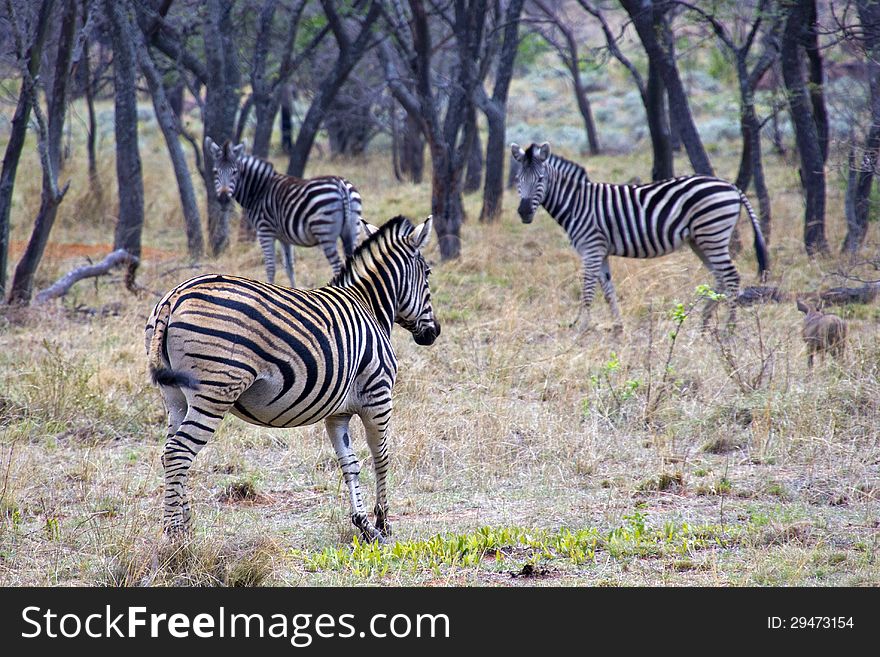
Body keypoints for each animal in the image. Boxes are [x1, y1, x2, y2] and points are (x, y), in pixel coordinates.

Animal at [147, 215, 444, 544]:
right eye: (428, 273)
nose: (434, 332)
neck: (370, 306)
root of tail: (174, 297)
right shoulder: (378, 397)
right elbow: (381, 457)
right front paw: (383, 524)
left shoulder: (337, 413)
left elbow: (349, 463)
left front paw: (363, 523)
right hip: (214, 392)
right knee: (179, 452)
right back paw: (175, 535)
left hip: (175, 397)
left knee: (169, 453)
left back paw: (185, 528)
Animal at [205, 135, 360, 284]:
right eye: (215, 172)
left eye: (235, 172)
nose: (223, 199)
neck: (259, 190)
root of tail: (341, 186)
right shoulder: (284, 237)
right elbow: (289, 267)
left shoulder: (265, 231)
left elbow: (270, 267)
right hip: (353, 229)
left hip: (325, 233)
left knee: (337, 266)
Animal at [512, 142, 768, 330]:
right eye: (517, 181)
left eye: (541, 180)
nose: (523, 212)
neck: (577, 203)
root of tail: (731, 186)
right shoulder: (601, 251)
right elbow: (608, 291)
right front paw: (618, 329)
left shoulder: (591, 248)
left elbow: (587, 290)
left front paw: (581, 329)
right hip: (701, 239)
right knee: (720, 276)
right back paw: (704, 322)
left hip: (712, 234)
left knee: (731, 277)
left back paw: (728, 328)